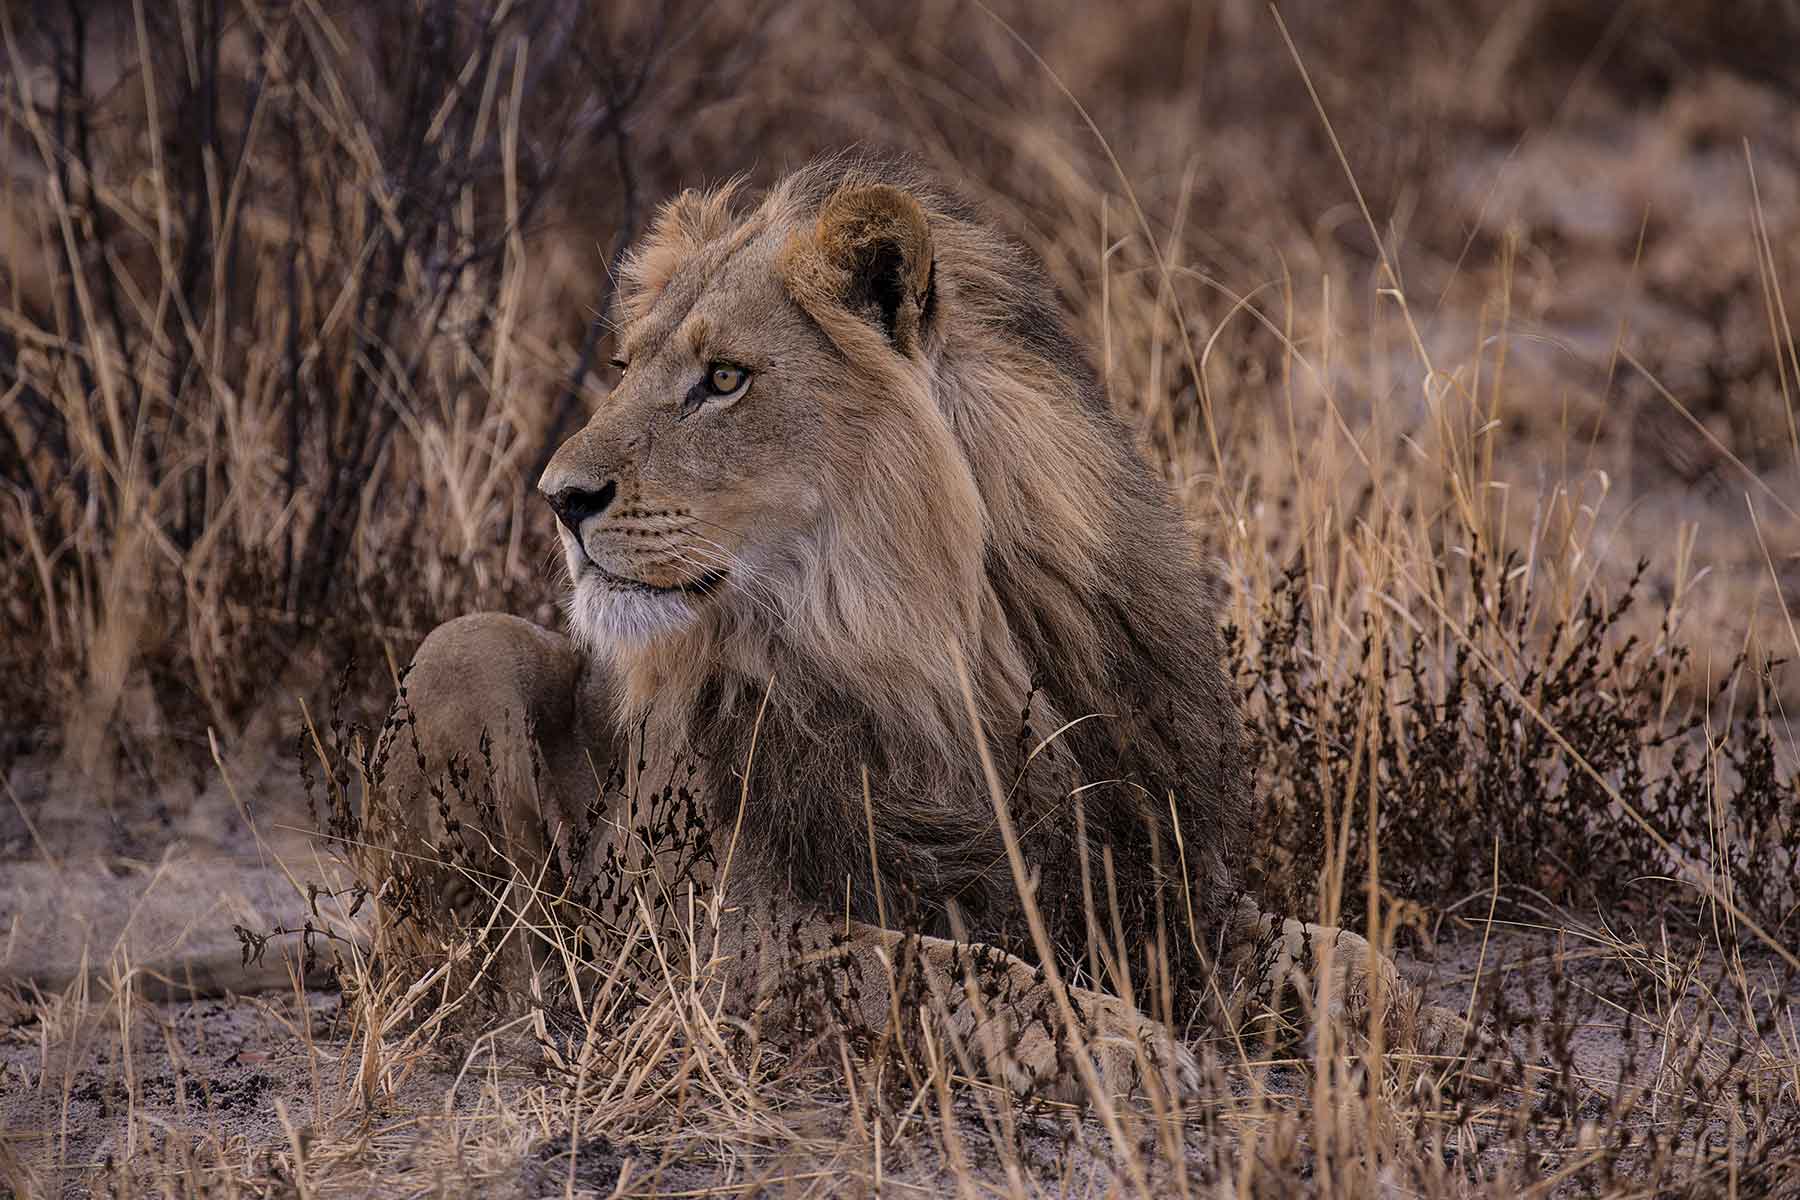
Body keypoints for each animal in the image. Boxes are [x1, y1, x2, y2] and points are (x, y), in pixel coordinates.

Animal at [373, 153, 1460, 1100]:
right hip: (465, 651)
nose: (558, 498)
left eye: (724, 379)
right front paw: (1140, 1052)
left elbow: (1354, 957)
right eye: (626, 366)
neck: (934, 653)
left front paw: (1445, 1032)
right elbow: (969, 976)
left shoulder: (1145, 868)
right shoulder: (706, 929)